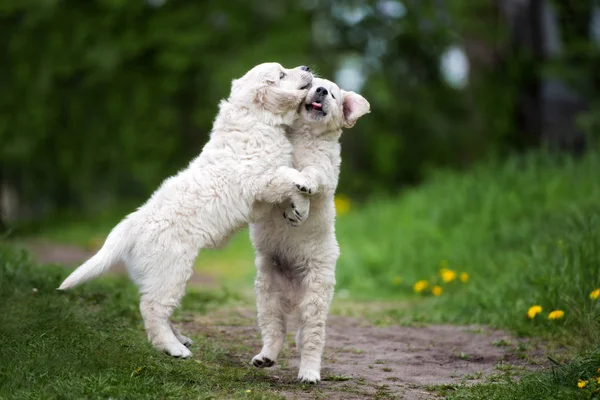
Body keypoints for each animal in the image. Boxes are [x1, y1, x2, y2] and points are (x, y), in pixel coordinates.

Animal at [58, 63, 316, 360]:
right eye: (282, 74)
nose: (306, 67)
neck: (257, 121)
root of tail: (132, 223)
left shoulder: (266, 189)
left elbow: (289, 188)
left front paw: (298, 210)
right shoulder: (260, 179)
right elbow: (289, 175)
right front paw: (305, 188)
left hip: (157, 274)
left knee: (158, 308)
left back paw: (179, 339)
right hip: (171, 269)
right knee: (153, 308)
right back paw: (174, 349)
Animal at [248, 77, 370, 382]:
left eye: (334, 94)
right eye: (312, 84)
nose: (321, 91)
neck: (305, 137)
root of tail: (294, 297)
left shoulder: (324, 174)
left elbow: (310, 176)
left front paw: (301, 199)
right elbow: (283, 181)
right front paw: (295, 204)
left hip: (315, 296)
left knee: (311, 338)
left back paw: (309, 373)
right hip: (267, 295)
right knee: (276, 329)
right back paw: (265, 356)